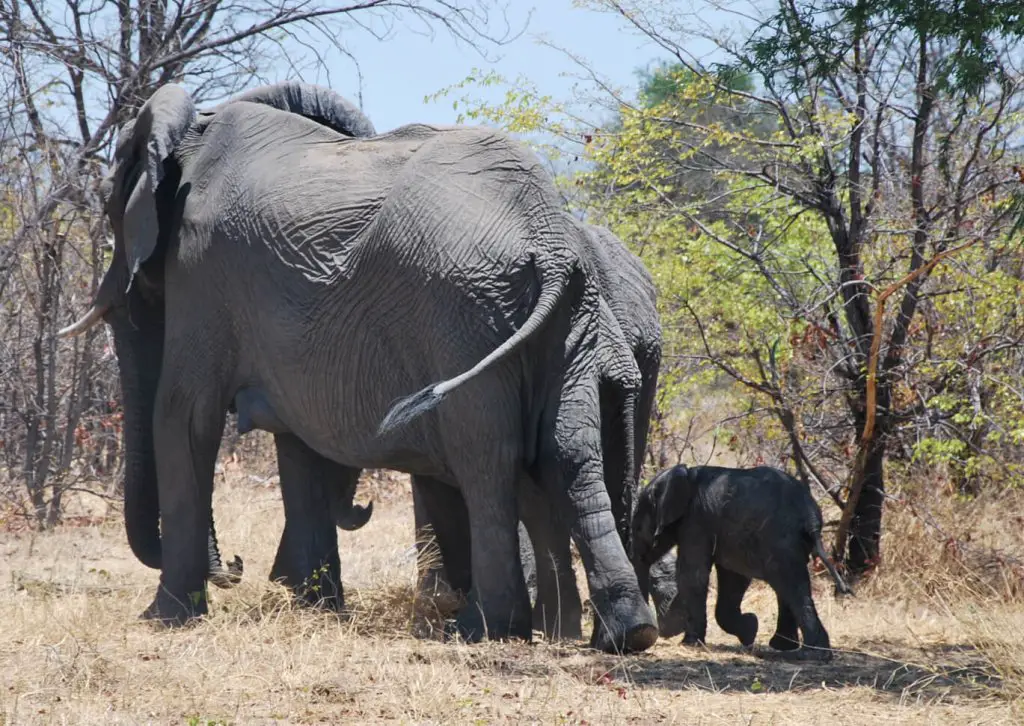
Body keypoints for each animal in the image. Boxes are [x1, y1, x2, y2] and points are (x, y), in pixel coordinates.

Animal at [626, 464, 851, 655]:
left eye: (637, 528)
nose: (657, 631)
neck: (686, 475)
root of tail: (811, 517)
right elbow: (733, 578)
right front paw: (750, 630)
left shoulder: (696, 522)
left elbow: (693, 576)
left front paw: (690, 643)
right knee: (787, 587)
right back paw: (785, 647)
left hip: (781, 539)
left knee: (791, 586)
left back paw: (811, 653)